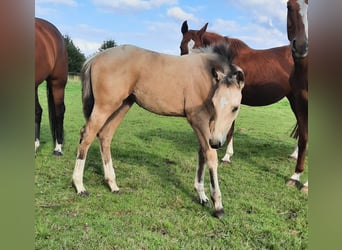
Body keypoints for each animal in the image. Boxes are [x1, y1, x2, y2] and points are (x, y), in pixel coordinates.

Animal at [72, 43, 244, 217]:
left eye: (235, 108)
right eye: (215, 103)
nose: (216, 142)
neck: (207, 75)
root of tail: (94, 58)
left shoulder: (208, 124)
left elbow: (202, 153)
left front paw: (202, 196)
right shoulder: (198, 119)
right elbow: (211, 155)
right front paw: (218, 205)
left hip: (123, 104)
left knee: (105, 135)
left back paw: (112, 184)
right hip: (105, 106)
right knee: (87, 135)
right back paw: (79, 186)